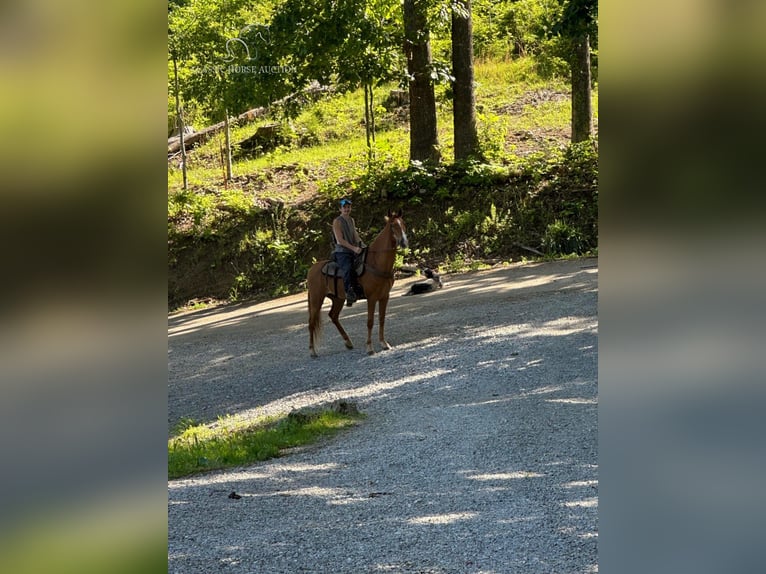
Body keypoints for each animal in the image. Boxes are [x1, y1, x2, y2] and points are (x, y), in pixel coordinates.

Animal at [308, 212, 412, 356]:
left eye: (403, 224)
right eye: (392, 225)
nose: (404, 242)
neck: (375, 262)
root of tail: (312, 270)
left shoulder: (384, 297)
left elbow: (382, 319)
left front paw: (384, 343)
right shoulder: (372, 298)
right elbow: (370, 321)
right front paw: (369, 347)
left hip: (338, 299)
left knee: (333, 316)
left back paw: (348, 342)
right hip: (316, 299)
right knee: (312, 322)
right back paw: (312, 351)